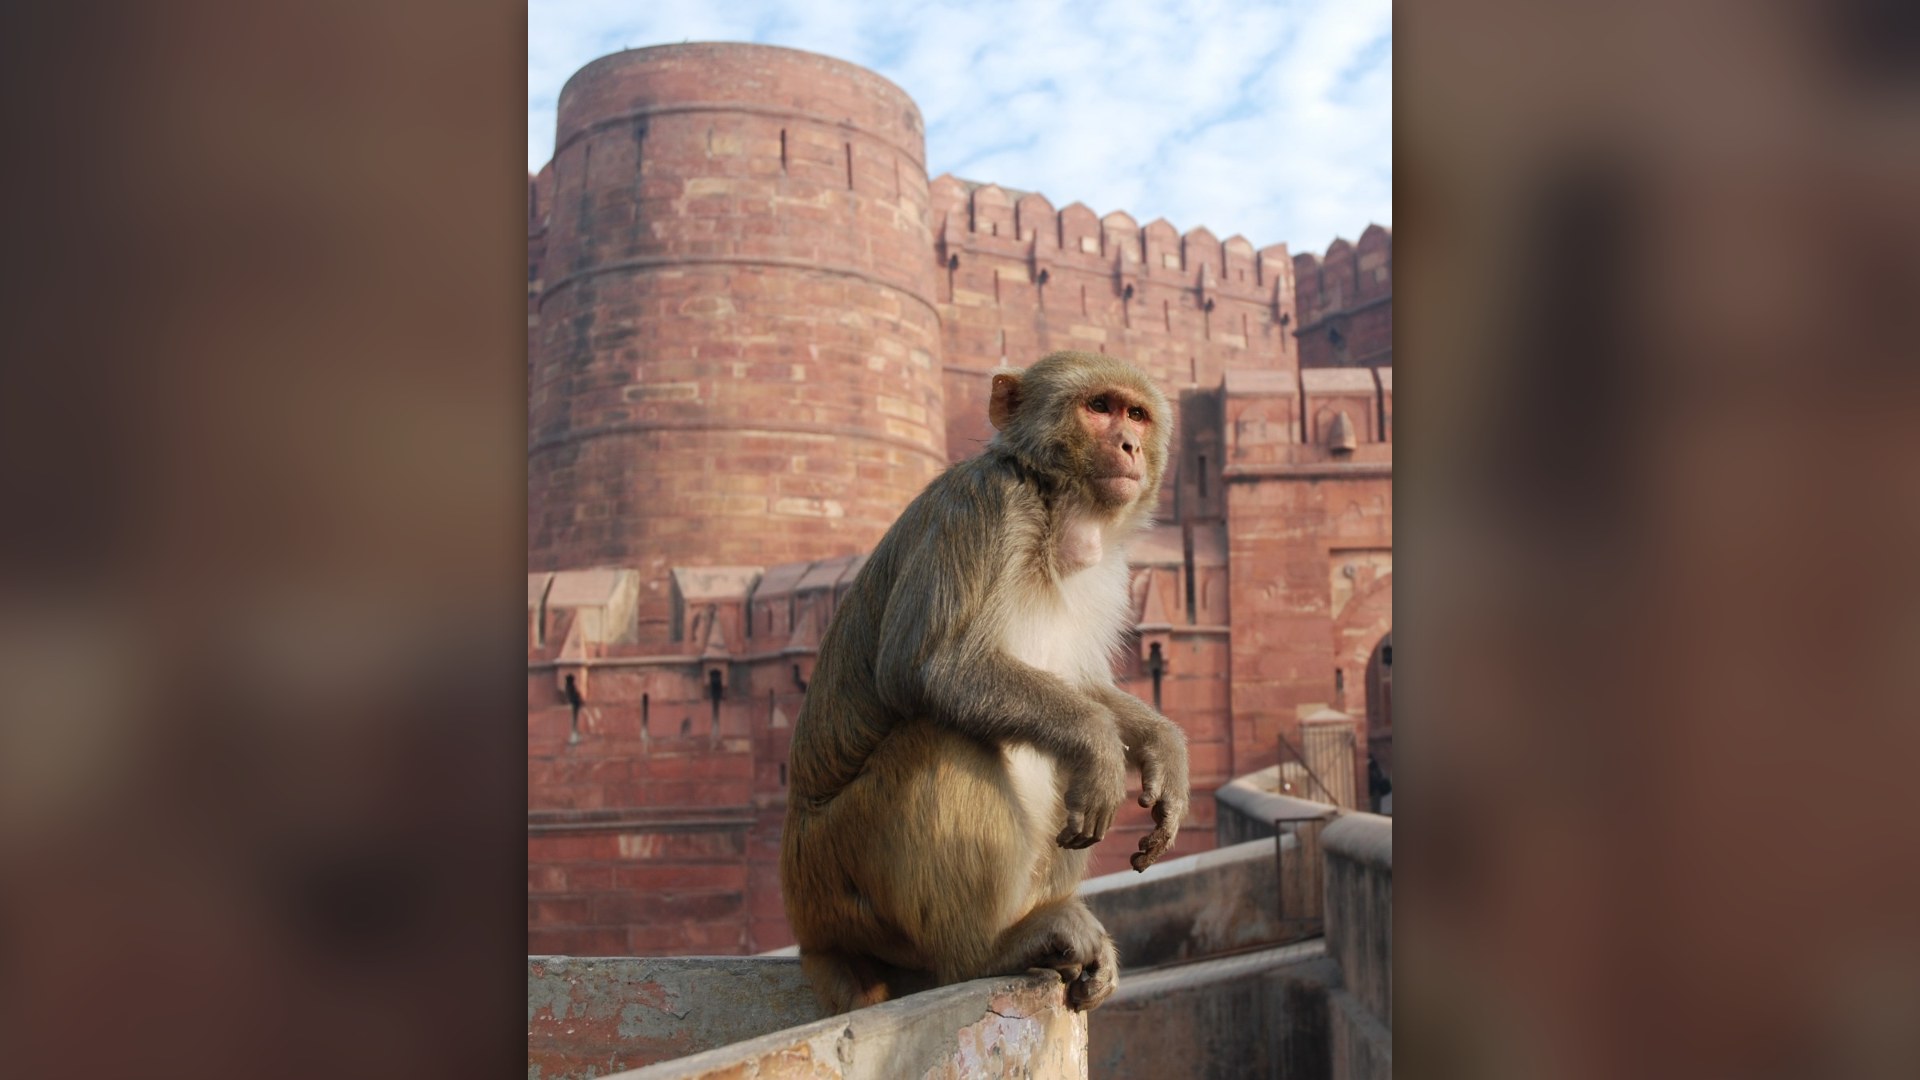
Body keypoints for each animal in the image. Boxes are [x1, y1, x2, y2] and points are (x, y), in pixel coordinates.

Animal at [779, 350, 1191, 1015]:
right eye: (1099, 407)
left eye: (1137, 415)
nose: (1129, 444)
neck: (1055, 515)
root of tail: (811, 937)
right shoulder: (984, 508)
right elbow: (928, 666)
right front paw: (1101, 746)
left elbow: (1081, 683)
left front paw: (1164, 749)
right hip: (839, 883)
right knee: (941, 737)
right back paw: (987, 951)